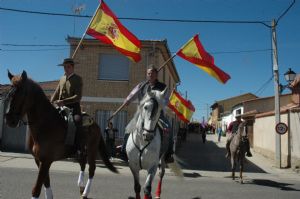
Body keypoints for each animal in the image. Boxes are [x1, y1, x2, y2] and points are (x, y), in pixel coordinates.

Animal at [4, 70, 118, 198]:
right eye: (8, 94)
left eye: (21, 93)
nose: (9, 120)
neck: (45, 124)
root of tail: (95, 124)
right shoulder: (39, 160)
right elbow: (46, 182)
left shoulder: (46, 160)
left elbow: (36, 189)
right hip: (81, 150)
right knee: (83, 163)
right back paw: (81, 186)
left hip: (92, 149)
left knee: (91, 169)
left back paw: (85, 192)